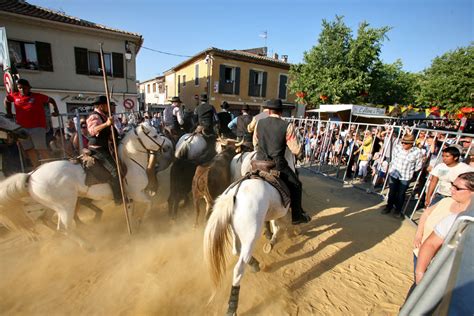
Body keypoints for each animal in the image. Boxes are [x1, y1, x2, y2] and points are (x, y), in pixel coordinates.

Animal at [0, 122, 168, 246]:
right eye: (154, 135)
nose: (166, 146)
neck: (131, 160)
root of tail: (30, 175)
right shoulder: (137, 193)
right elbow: (150, 203)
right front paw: (140, 221)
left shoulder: (132, 196)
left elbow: (134, 209)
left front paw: (134, 223)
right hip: (66, 206)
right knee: (65, 228)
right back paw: (87, 245)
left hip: (53, 206)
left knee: (45, 220)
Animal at [203, 149, 296, 316]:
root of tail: (233, 194)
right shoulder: (282, 212)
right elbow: (279, 227)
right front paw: (274, 241)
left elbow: (276, 227)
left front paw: (272, 241)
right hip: (251, 236)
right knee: (239, 268)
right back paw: (232, 308)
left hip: (236, 232)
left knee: (236, 250)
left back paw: (255, 264)